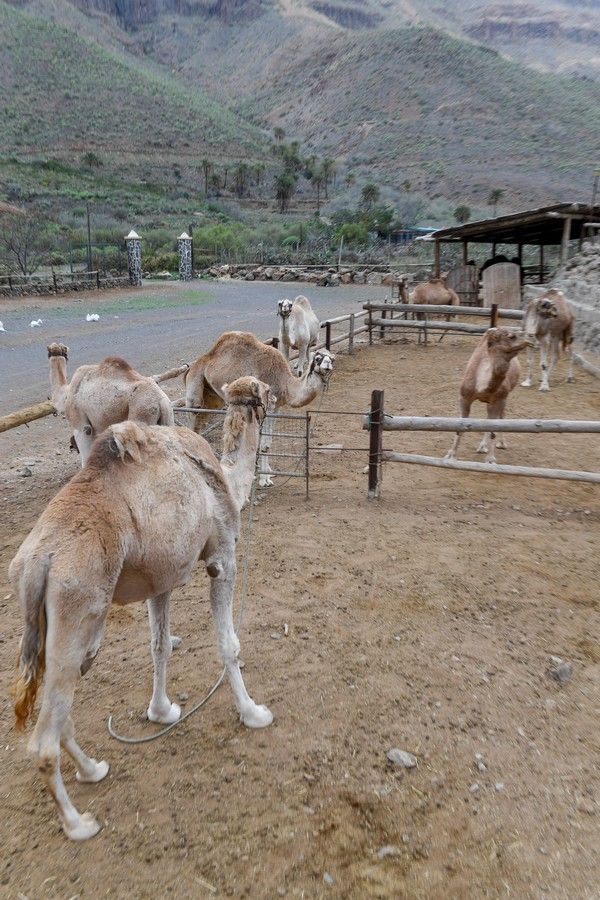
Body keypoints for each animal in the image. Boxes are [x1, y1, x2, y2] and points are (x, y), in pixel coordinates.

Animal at [11, 376, 272, 840]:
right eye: (260, 391)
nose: (274, 398)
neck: (224, 479)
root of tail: (36, 564)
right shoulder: (222, 556)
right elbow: (229, 644)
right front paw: (253, 713)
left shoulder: (161, 579)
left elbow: (159, 646)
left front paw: (162, 712)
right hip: (77, 610)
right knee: (43, 737)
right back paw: (78, 823)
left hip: (47, 627)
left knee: (60, 710)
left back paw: (93, 769)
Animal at [184, 330, 332, 486]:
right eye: (318, 358)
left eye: (332, 358)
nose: (328, 365)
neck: (285, 384)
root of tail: (195, 364)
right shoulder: (268, 406)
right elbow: (263, 444)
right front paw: (264, 479)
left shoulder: (276, 408)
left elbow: (267, 442)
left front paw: (267, 473)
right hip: (195, 383)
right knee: (193, 413)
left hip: (212, 397)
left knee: (200, 422)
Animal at [442, 326, 532, 464]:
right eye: (511, 336)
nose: (531, 336)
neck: (481, 386)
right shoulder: (464, 398)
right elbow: (459, 427)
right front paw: (451, 455)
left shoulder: (499, 399)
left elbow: (493, 429)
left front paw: (490, 460)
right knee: (489, 418)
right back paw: (482, 446)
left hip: (504, 398)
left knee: (500, 417)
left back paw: (500, 444)